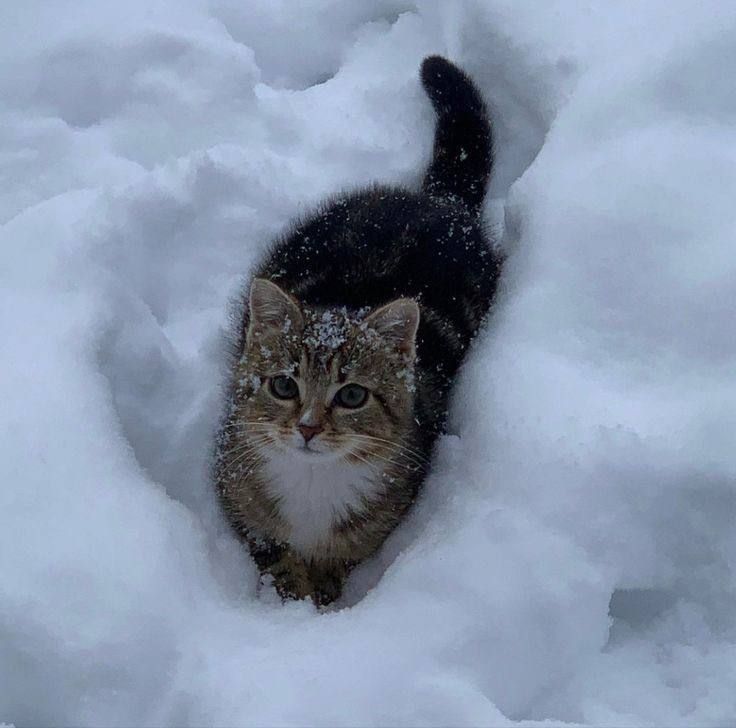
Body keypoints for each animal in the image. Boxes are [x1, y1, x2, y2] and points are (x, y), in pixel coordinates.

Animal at [213, 55, 500, 604]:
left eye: (352, 396)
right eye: (283, 385)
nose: (307, 427)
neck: (312, 484)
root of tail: (440, 204)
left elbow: (340, 559)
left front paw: (322, 591)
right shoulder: (232, 483)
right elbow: (271, 550)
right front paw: (293, 592)